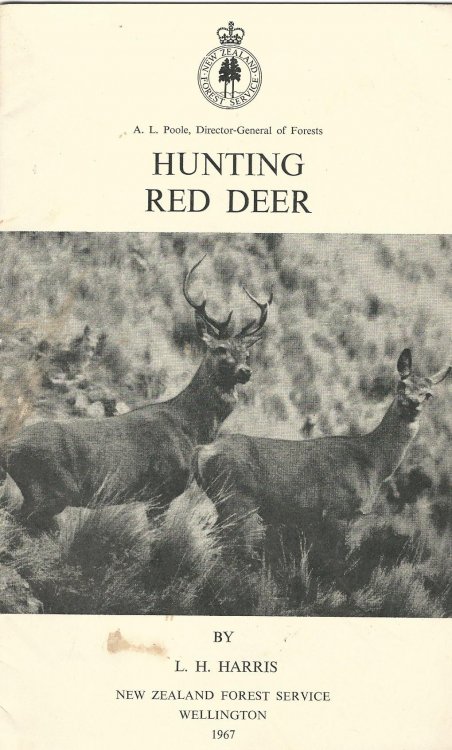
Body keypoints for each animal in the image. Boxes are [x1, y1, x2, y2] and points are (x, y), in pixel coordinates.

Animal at [0, 256, 272, 531]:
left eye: (246, 353)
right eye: (220, 349)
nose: (245, 371)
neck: (191, 429)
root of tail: (8, 447)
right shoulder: (161, 489)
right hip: (47, 490)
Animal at [194, 349, 450, 588]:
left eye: (428, 394)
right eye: (402, 384)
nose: (413, 403)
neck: (372, 462)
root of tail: (202, 451)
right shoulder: (337, 509)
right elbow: (334, 564)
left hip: (227, 500)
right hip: (237, 498)